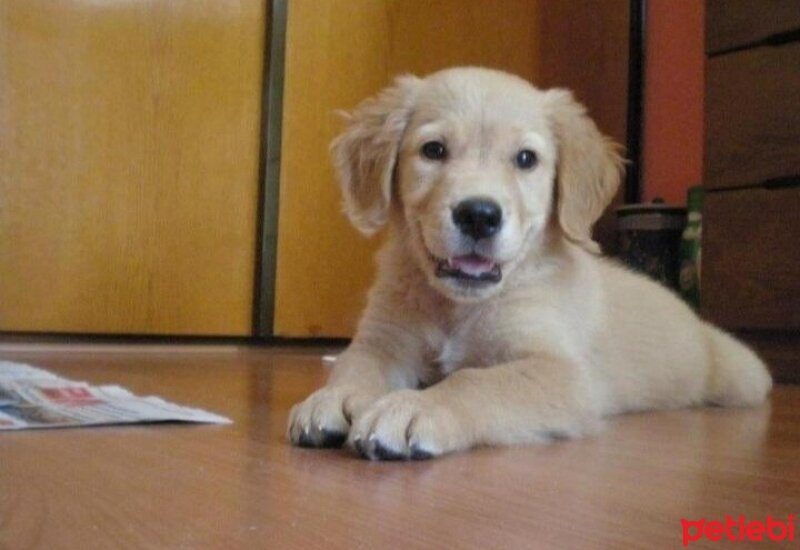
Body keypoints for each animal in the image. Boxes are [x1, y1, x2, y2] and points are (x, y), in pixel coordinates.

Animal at [286, 66, 768, 462]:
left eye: (525, 159)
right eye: (433, 150)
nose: (479, 215)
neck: (457, 306)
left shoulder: (563, 374)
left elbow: (474, 380)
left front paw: (416, 406)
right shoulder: (383, 341)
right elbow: (355, 365)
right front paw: (335, 397)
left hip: (740, 375)